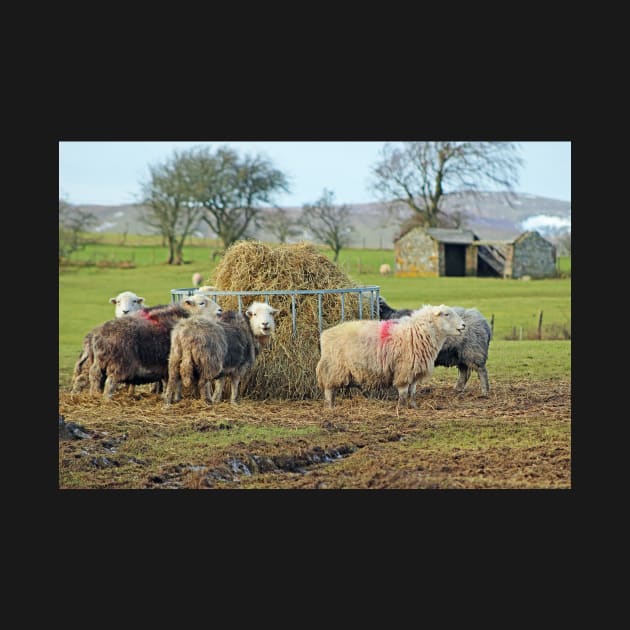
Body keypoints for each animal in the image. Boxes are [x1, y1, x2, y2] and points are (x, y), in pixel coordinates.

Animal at [86, 296, 220, 400]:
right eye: (202, 303)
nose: (220, 310)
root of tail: (97, 335)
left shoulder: (166, 365)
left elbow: (171, 382)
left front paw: (170, 396)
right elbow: (175, 382)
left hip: (98, 364)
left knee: (95, 377)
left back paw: (94, 395)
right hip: (119, 364)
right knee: (110, 383)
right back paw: (108, 399)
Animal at [318, 306, 466, 414]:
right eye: (446, 314)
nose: (464, 325)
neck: (418, 331)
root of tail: (325, 334)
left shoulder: (414, 370)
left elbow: (412, 391)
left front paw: (413, 405)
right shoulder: (404, 368)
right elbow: (404, 391)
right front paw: (402, 407)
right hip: (334, 367)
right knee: (329, 388)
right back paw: (329, 406)